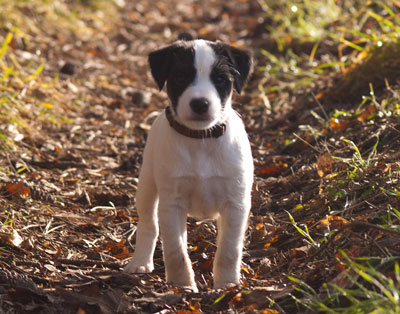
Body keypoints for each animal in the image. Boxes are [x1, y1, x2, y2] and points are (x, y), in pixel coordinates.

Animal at [124, 38, 253, 290]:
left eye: (220, 79)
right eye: (180, 77)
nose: (200, 103)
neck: (200, 139)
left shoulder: (236, 204)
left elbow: (229, 250)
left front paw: (227, 286)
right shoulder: (171, 204)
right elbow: (176, 251)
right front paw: (181, 286)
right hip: (146, 186)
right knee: (149, 225)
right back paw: (140, 262)